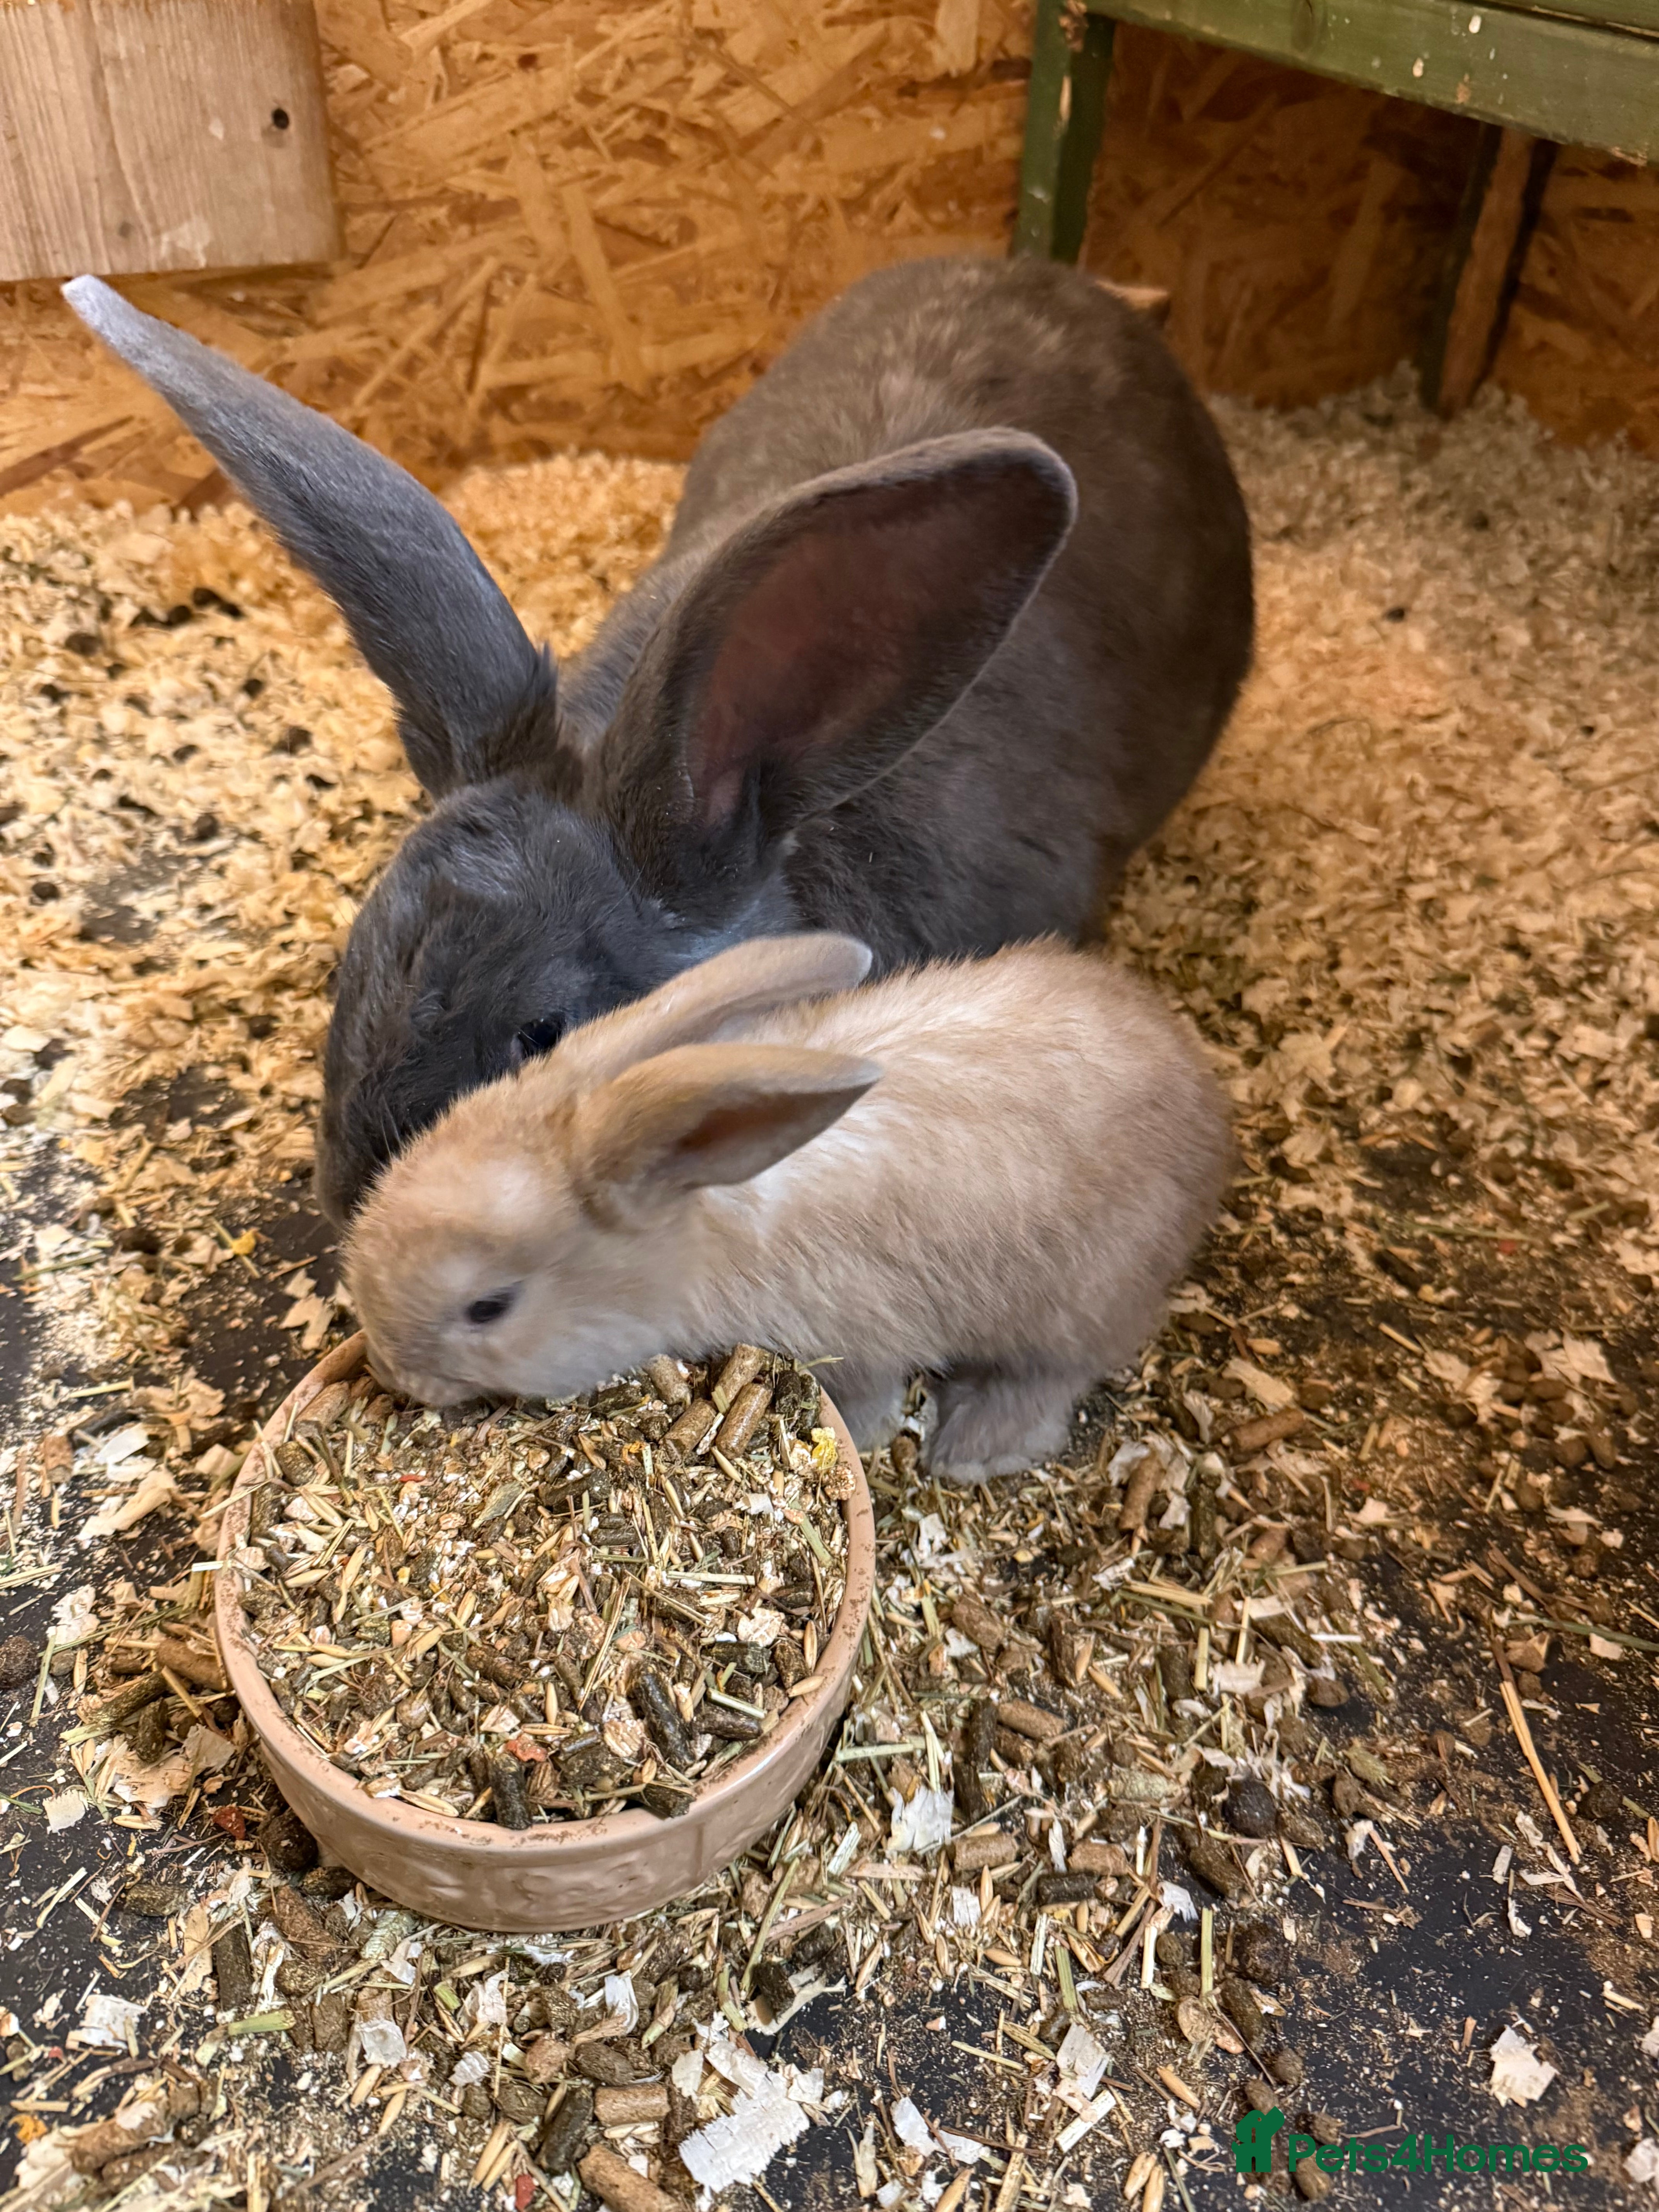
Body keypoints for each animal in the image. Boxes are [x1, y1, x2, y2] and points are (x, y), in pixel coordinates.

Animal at [342, 932, 1233, 1484]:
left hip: (1081, 1297)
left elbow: (868, 1398)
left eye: (488, 1306)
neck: (700, 1214)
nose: (393, 1373)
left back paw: (972, 1448)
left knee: (1056, 1375)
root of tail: (1207, 1102)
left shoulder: (861, 1339)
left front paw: (868, 1440)